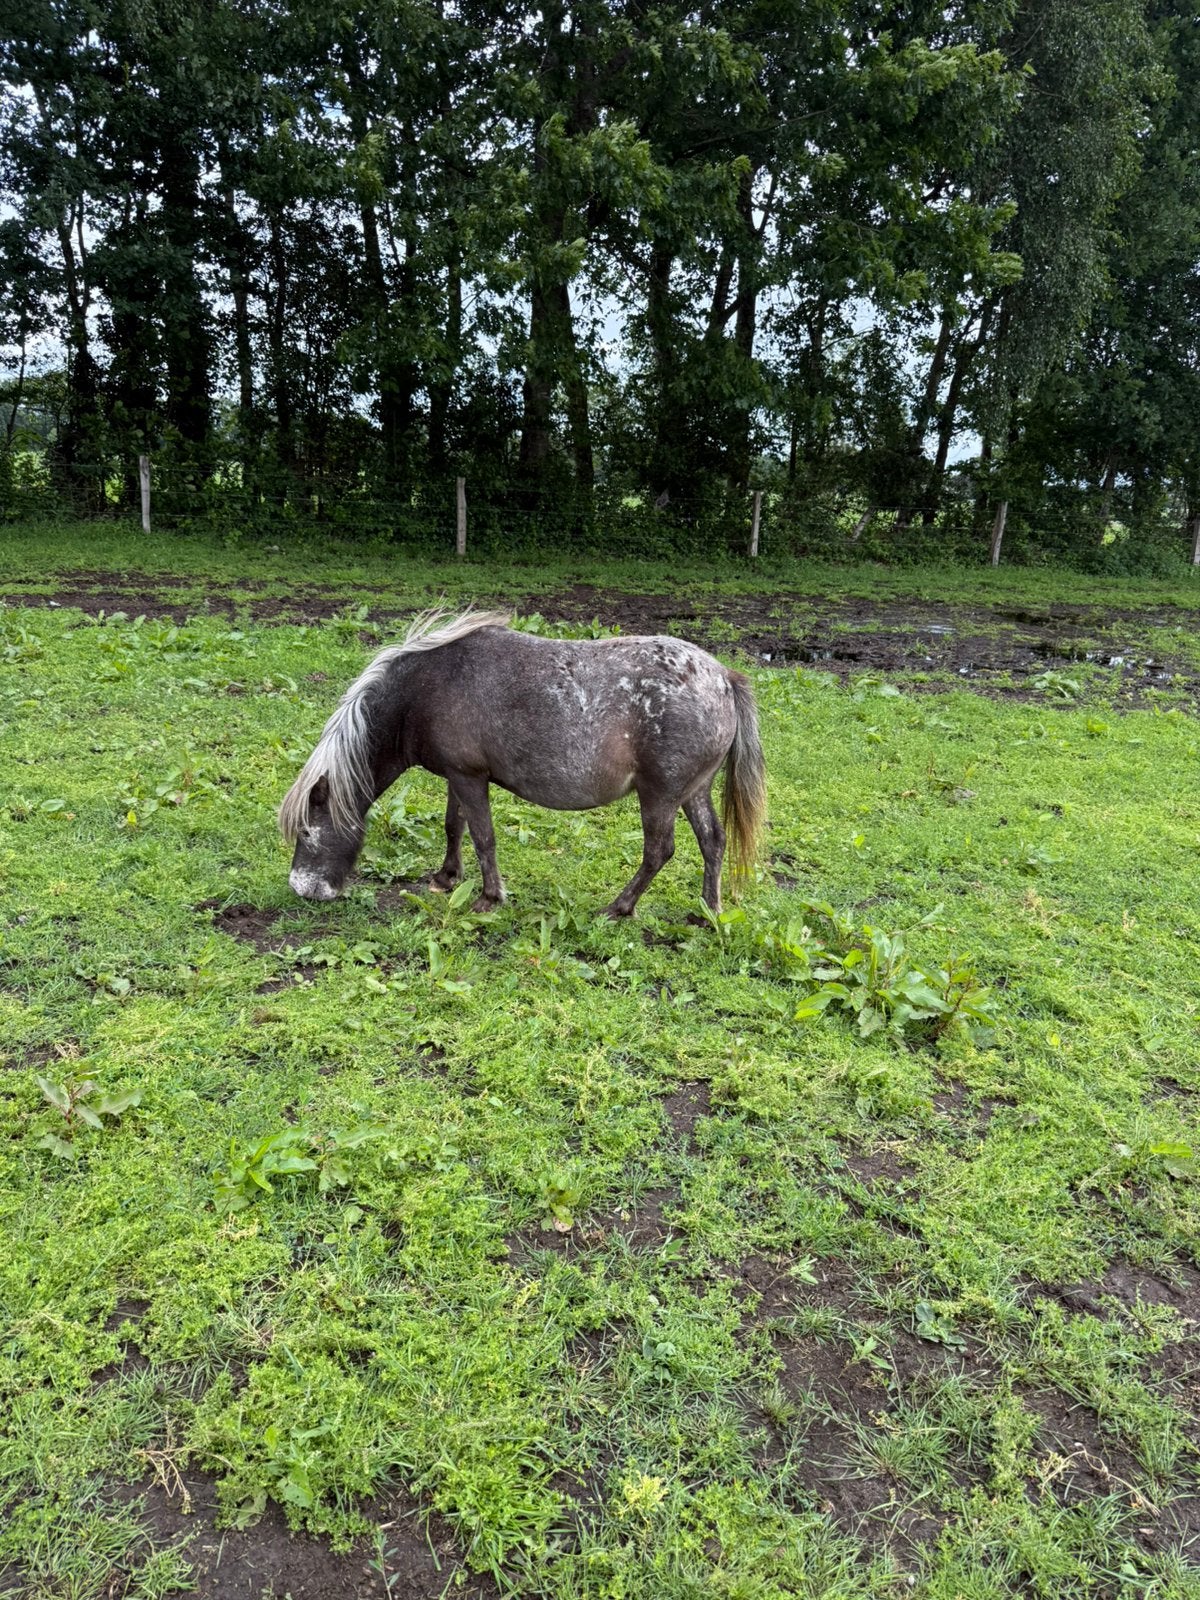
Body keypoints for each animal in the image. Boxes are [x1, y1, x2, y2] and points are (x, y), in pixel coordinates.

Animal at [279, 609, 766, 917]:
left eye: (306, 830)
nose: (301, 889)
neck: (424, 689)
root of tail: (724, 677)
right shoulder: (458, 776)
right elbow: (454, 826)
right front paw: (447, 877)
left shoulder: (470, 778)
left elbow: (483, 837)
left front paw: (489, 898)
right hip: (693, 791)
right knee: (713, 841)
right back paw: (707, 910)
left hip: (660, 796)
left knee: (659, 851)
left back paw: (619, 907)